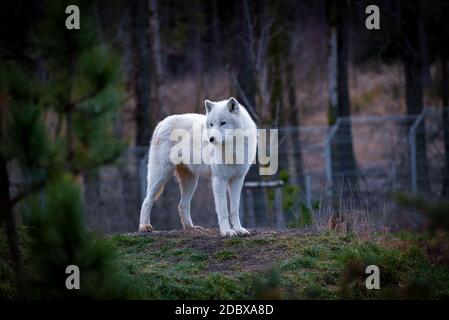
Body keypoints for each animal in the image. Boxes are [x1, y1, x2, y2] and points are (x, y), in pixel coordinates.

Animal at [137, 97, 256, 238]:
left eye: (223, 123)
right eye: (211, 124)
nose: (211, 139)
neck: (232, 148)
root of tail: (161, 122)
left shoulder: (238, 179)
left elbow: (234, 209)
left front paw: (239, 229)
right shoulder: (219, 180)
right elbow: (223, 210)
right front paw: (227, 231)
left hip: (191, 182)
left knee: (182, 205)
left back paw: (191, 228)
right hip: (160, 176)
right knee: (147, 200)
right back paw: (144, 226)